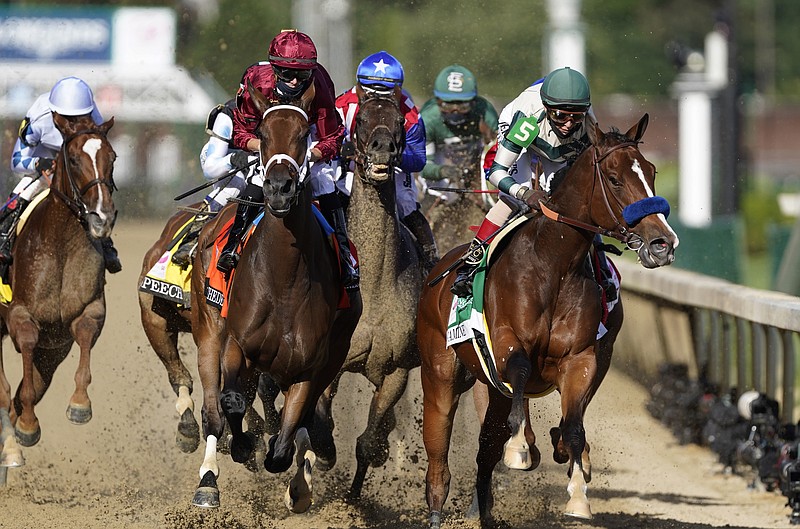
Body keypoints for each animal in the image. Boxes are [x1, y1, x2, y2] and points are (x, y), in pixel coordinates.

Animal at [0, 114, 117, 470]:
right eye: (75, 159)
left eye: (113, 158)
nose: (102, 217)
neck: (61, 244)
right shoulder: (19, 314)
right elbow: (25, 345)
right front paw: (28, 426)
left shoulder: (86, 313)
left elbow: (86, 335)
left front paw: (80, 405)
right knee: (5, 391)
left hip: (51, 354)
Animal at [189, 82, 360, 512]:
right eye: (263, 135)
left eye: (303, 134)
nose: (279, 189)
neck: (283, 281)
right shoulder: (238, 346)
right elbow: (232, 402)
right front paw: (243, 446)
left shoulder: (310, 368)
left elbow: (286, 442)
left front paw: (296, 480)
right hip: (209, 330)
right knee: (214, 408)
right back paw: (209, 479)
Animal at [416, 113, 680, 524]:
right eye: (615, 178)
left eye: (651, 172)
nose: (662, 243)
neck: (554, 265)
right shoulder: (506, 343)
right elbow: (522, 372)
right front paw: (521, 448)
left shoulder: (583, 358)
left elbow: (573, 427)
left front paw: (578, 494)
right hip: (439, 373)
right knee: (438, 447)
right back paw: (438, 506)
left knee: (486, 450)